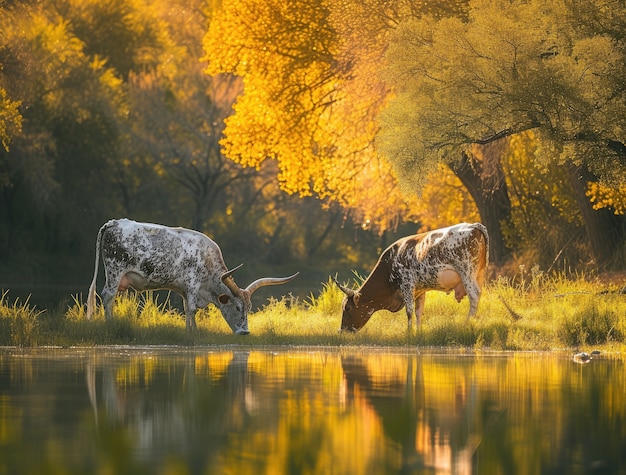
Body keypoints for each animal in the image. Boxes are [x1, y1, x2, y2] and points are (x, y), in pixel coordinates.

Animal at [85, 218, 298, 332]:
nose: (245, 332)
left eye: (249, 308)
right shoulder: (193, 284)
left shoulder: (183, 289)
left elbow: (187, 308)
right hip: (114, 270)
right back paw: (110, 324)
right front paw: (195, 332)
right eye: (237, 307)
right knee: (108, 296)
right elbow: (193, 309)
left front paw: (189, 330)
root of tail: (115, 222)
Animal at [336, 222, 488, 330]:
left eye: (347, 308)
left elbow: (409, 312)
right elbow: (418, 312)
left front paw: (409, 333)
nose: (342, 330)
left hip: (467, 273)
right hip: (479, 274)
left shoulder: (407, 285)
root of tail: (472, 225)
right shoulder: (420, 290)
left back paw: (467, 323)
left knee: (474, 296)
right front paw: (418, 332)